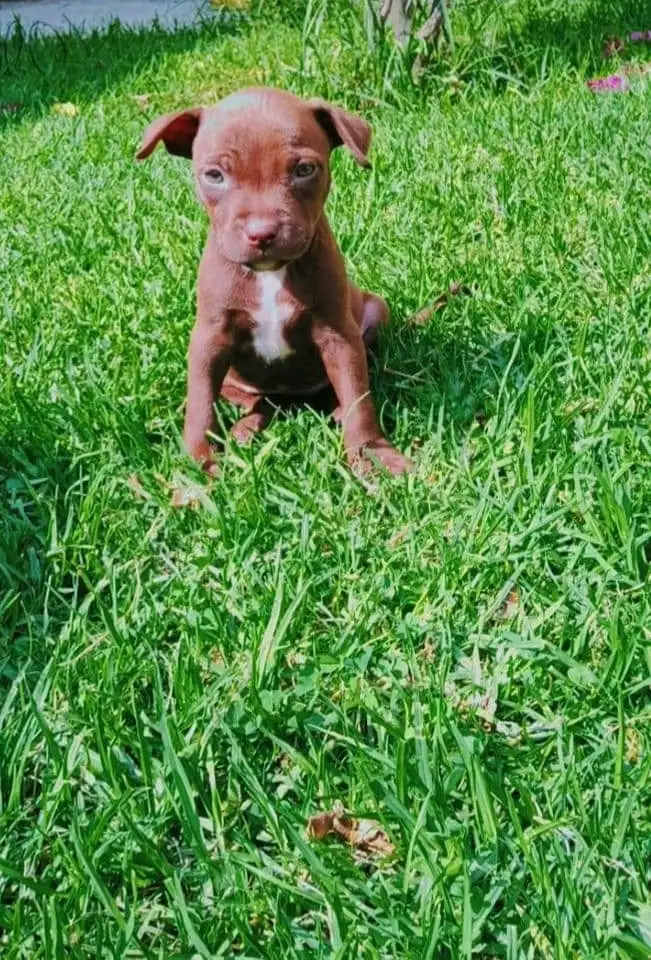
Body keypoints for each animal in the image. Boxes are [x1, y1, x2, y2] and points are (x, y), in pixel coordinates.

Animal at [138, 85, 412, 472]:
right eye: (214, 175)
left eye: (304, 170)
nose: (261, 232)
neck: (269, 274)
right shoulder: (209, 339)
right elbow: (201, 404)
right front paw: (197, 463)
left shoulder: (339, 336)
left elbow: (358, 397)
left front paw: (372, 454)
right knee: (256, 402)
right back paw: (244, 429)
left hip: (375, 311)